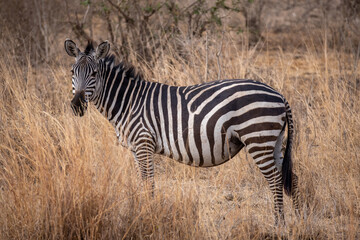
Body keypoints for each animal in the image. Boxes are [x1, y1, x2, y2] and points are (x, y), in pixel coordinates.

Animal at [63, 39, 300, 223]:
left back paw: (278, 223)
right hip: (274, 142)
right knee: (290, 177)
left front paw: (148, 216)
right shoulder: (135, 149)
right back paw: (298, 221)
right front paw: (141, 212)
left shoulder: (143, 143)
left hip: (258, 140)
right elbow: (142, 182)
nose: (76, 106)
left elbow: (149, 182)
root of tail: (279, 94)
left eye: (94, 73)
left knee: (275, 179)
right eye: (72, 72)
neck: (127, 102)